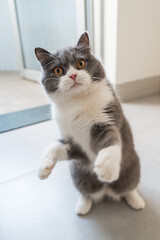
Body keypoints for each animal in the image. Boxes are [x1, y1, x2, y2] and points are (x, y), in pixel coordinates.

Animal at [34, 32, 145, 216]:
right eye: (58, 70)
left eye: (80, 63)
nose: (73, 75)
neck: (77, 103)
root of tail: (106, 190)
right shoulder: (72, 142)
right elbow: (56, 146)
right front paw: (43, 167)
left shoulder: (106, 117)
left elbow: (110, 138)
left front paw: (106, 165)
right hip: (78, 174)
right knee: (87, 192)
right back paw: (83, 205)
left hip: (132, 167)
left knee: (128, 187)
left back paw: (136, 200)